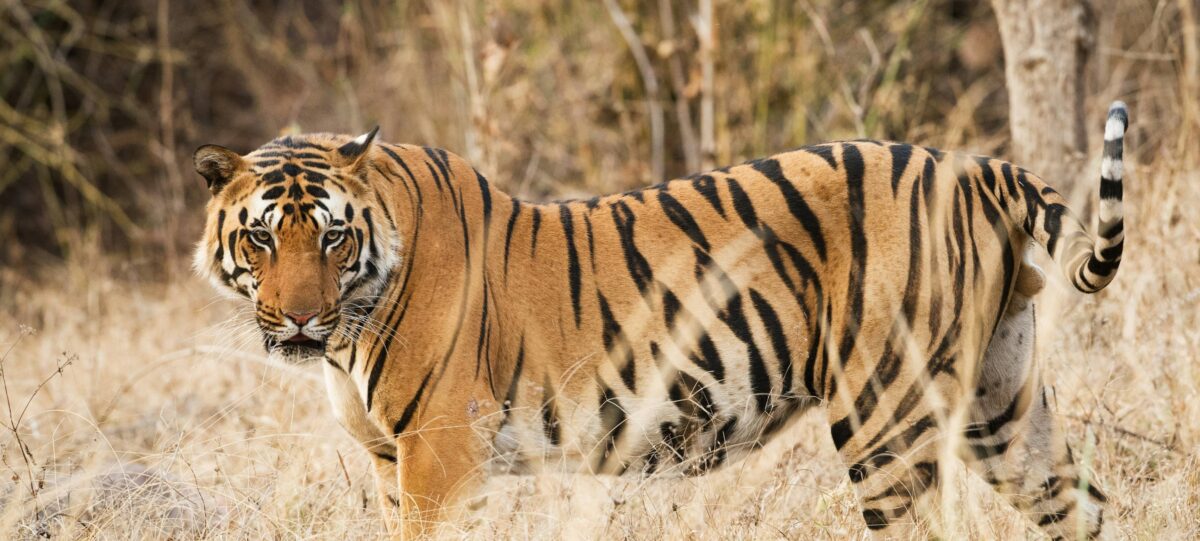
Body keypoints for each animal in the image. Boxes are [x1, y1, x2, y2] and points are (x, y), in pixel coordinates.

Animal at [193, 101, 1128, 539]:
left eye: (333, 236)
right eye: (262, 237)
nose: (301, 320)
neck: (350, 329)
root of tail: (975, 167)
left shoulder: (439, 452)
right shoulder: (393, 459)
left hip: (885, 415)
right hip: (1002, 404)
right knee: (1081, 503)